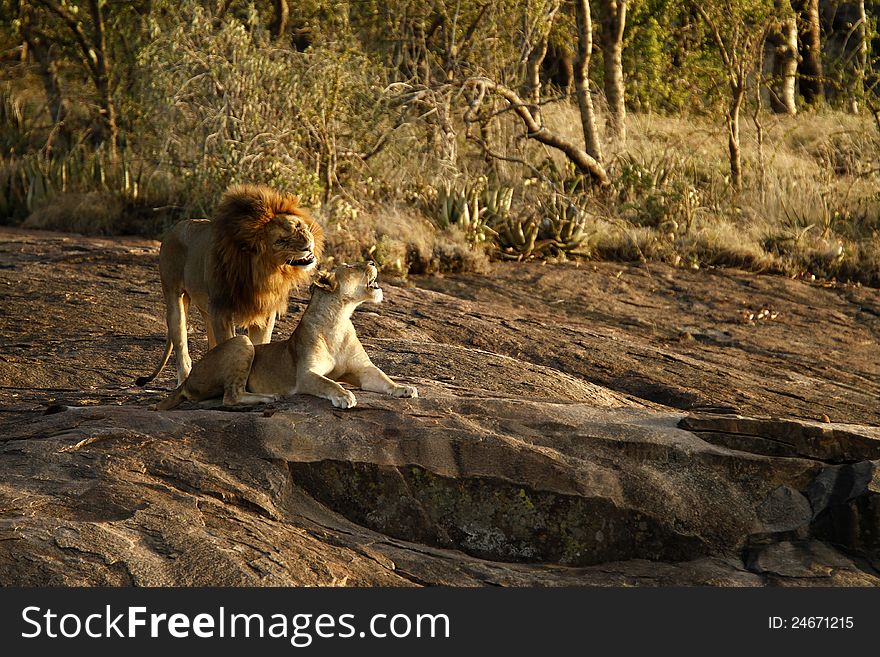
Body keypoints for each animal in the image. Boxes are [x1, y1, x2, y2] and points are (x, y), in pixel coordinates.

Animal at [139, 182, 324, 386]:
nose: (307, 245)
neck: (266, 272)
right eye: (281, 241)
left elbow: (259, 344)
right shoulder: (222, 311)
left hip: (207, 310)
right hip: (175, 298)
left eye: (299, 226)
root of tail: (175, 227)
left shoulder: (263, 311)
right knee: (181, 344)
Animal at [153, 262, 418, 410]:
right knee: (231, 396)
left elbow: (383, 378)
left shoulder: (363, 370)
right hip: (242, 342)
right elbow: (329, 382)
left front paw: (404, 388)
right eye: (352, 267)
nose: (372, 260)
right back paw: (270, 398)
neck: (339, 320)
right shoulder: (305, 375)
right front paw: (344, 396)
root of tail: (188, 379)